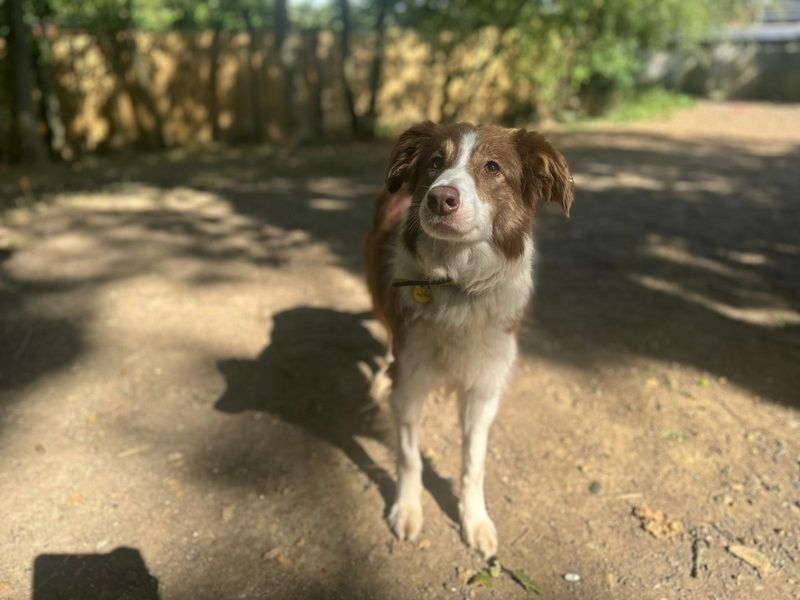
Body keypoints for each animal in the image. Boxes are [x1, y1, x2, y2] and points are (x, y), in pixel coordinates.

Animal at [362, 120, 576, 556]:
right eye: (434, 163)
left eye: (492, 167)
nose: (439, 198)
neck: (457, 282)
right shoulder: (410, 381)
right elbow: (409, 455)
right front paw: (407, 509)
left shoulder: (484, 388)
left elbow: (473, 464)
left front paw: (474, 520)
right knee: (386, 337)